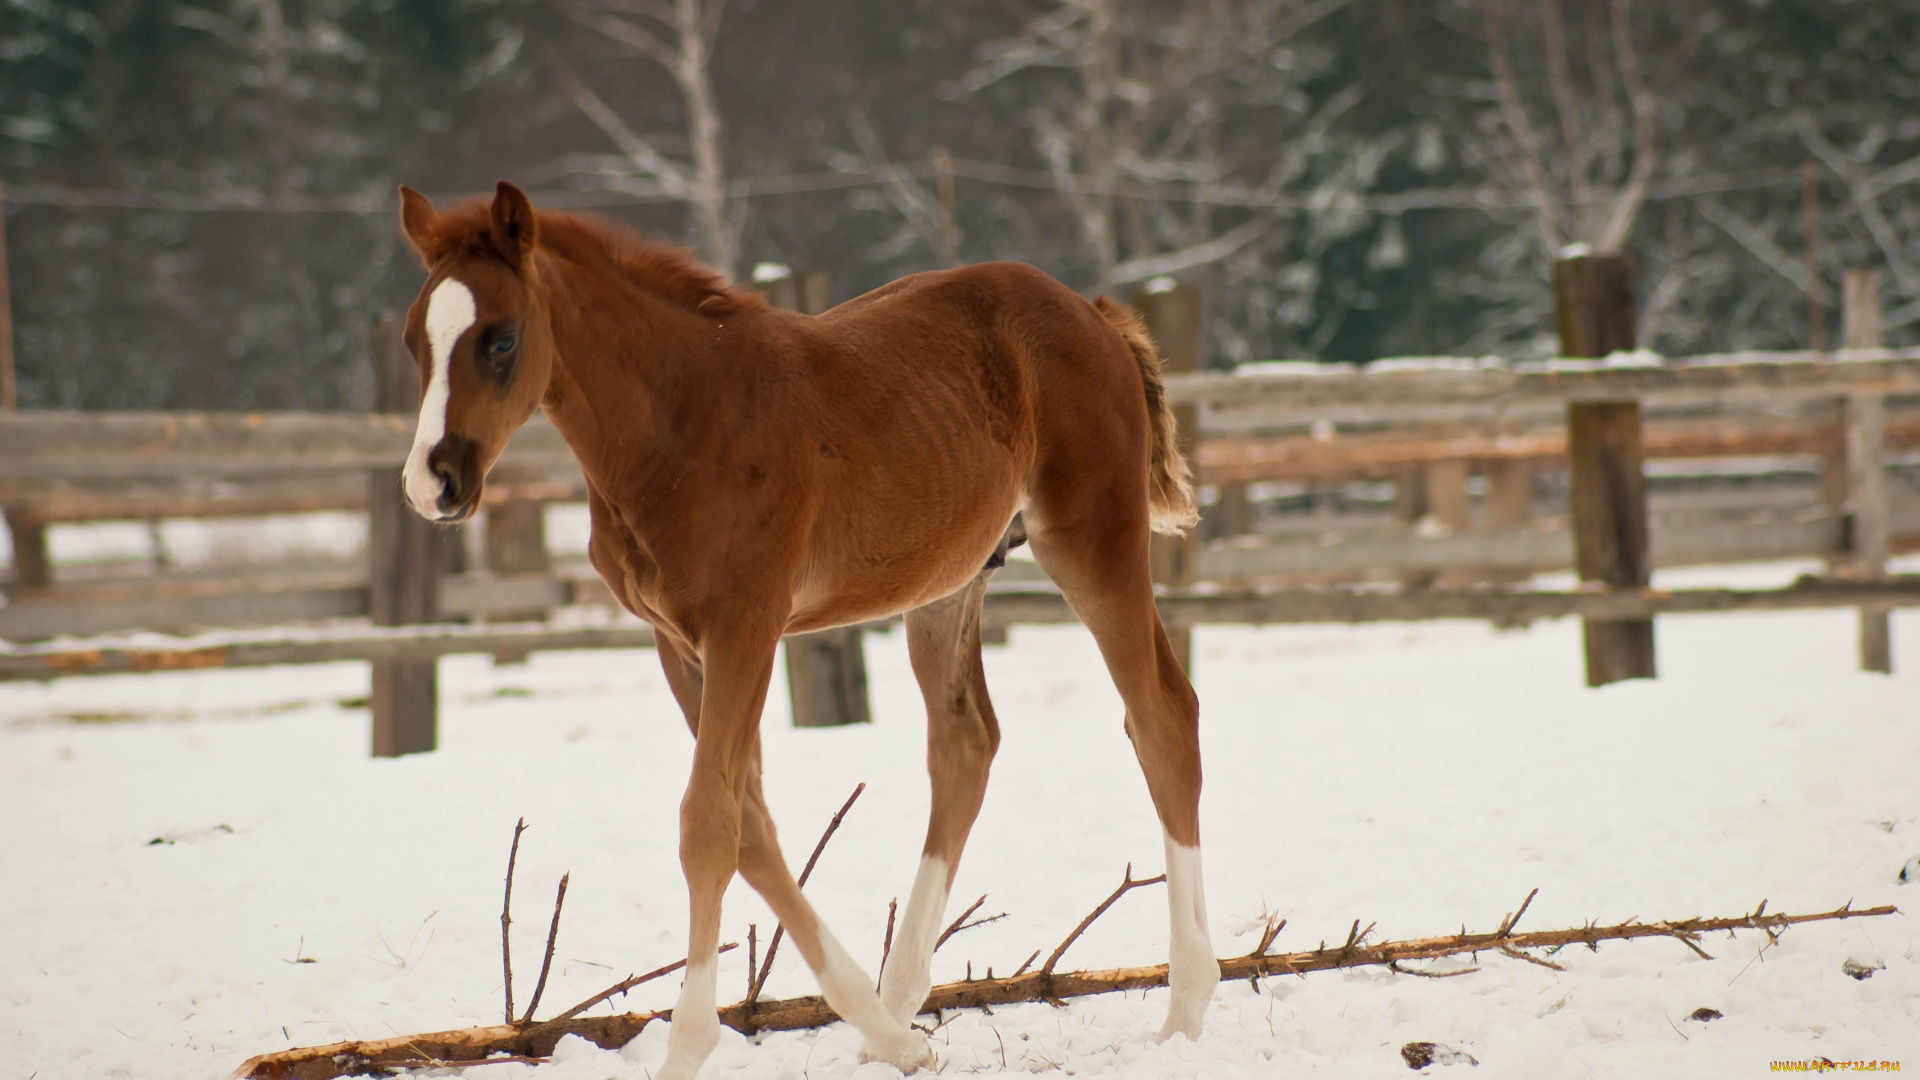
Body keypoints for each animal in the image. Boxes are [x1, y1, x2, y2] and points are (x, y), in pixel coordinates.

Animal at [397, 180, 1221, 1068]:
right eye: (414, 340)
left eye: (501, 338)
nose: (433, 482)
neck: (680, 425)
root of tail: (1094, 314)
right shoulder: (678, 642)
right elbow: (750, 823)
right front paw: (890, 1036)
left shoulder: (746, 625)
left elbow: (708, 821)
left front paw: (686, 1050)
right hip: (946, 584)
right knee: (966, 744)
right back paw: (901, 1009)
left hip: (1092, 540)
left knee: (1162, 717)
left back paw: (1187, 1007)